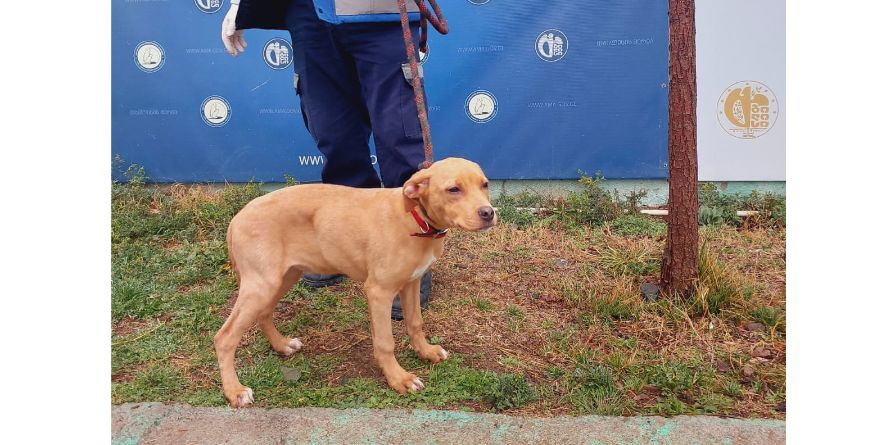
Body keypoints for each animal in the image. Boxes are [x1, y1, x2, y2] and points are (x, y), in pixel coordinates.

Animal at [212, 158, 496, 408]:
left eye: (485, 185)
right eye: (453, 189)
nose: (489, 213)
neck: (415, 219)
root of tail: (236, 219)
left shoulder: (412, 282)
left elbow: (415, 322)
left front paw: (425, 351)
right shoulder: (379, 291)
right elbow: (385, 342)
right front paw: (398, 378)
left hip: (283, 277)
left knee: (264, 314)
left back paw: (281, 345)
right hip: (262, 284)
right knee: (224, 337)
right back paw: (235, 391)